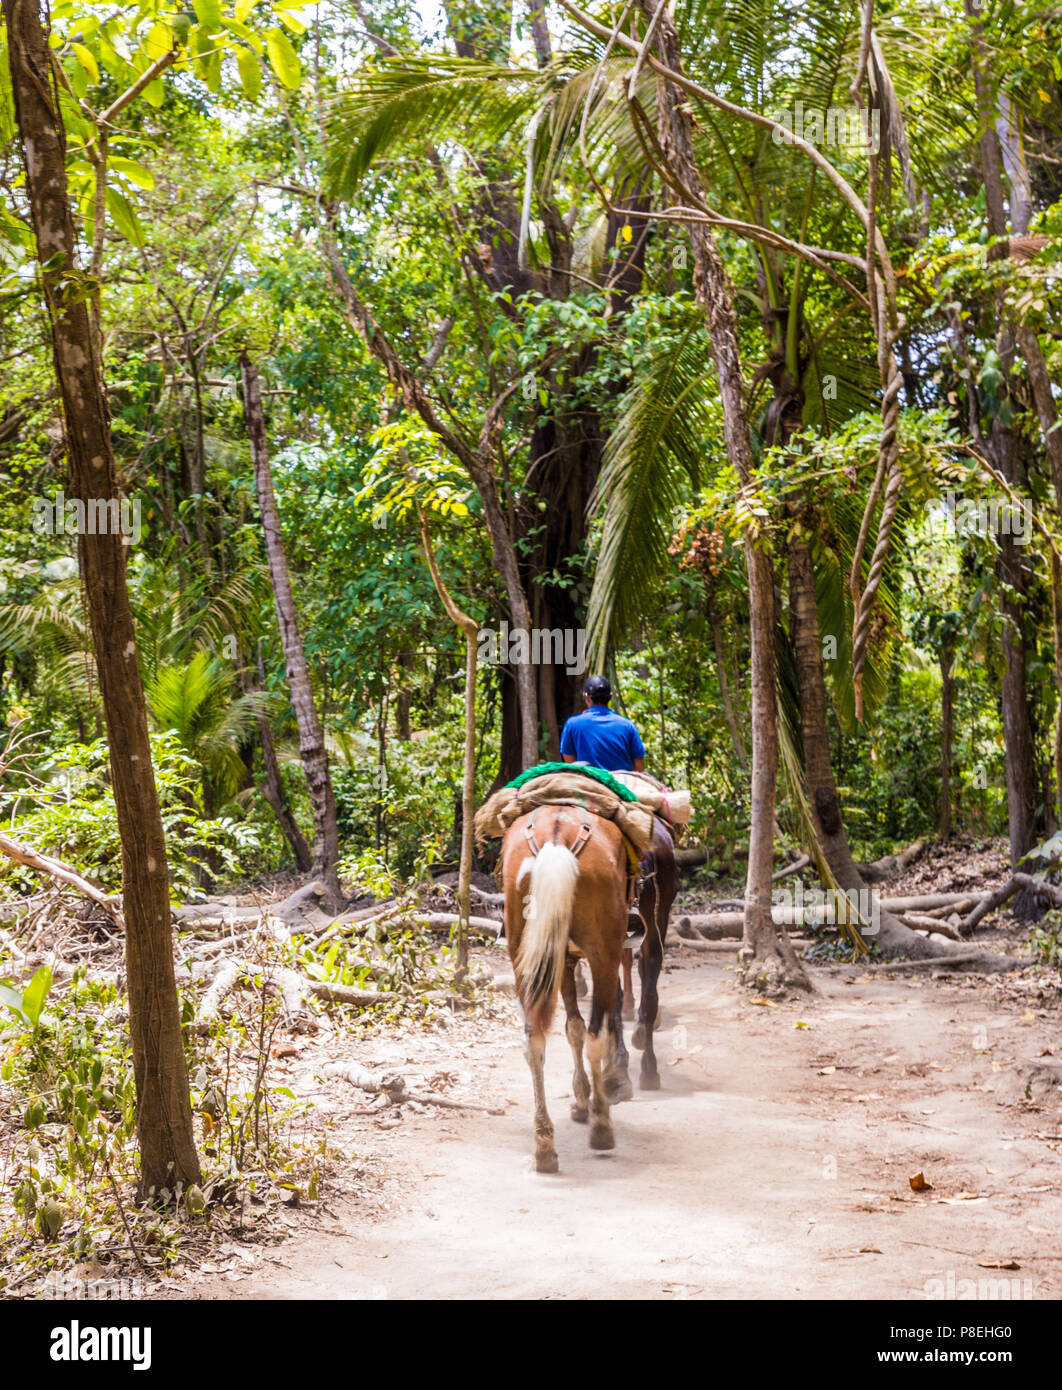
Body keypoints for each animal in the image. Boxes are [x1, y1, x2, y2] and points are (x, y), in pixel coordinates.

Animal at [500, 806, 631, 1173]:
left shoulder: (562, 960)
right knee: (597, 1034)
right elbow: (588, 1030)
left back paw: (545, 1144)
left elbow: (572, 1028)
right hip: (603, 954)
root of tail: (556, 836)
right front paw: (591, 1105)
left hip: (525, 954)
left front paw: (580, 1099)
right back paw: (602, 1125)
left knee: (534, 1041)